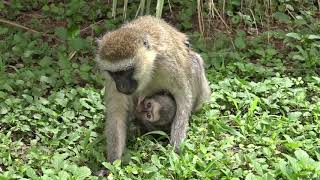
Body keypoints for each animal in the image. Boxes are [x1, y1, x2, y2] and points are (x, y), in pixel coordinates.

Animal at [95, 15, 210, 163]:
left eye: (127, 71)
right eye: (115, 74)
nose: (122, 86)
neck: (148, 68)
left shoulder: (167, 63)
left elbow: (183, 97)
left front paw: (176, 149)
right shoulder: (111, 81)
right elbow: (117, 112)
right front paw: (113, 162)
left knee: (195, 61)